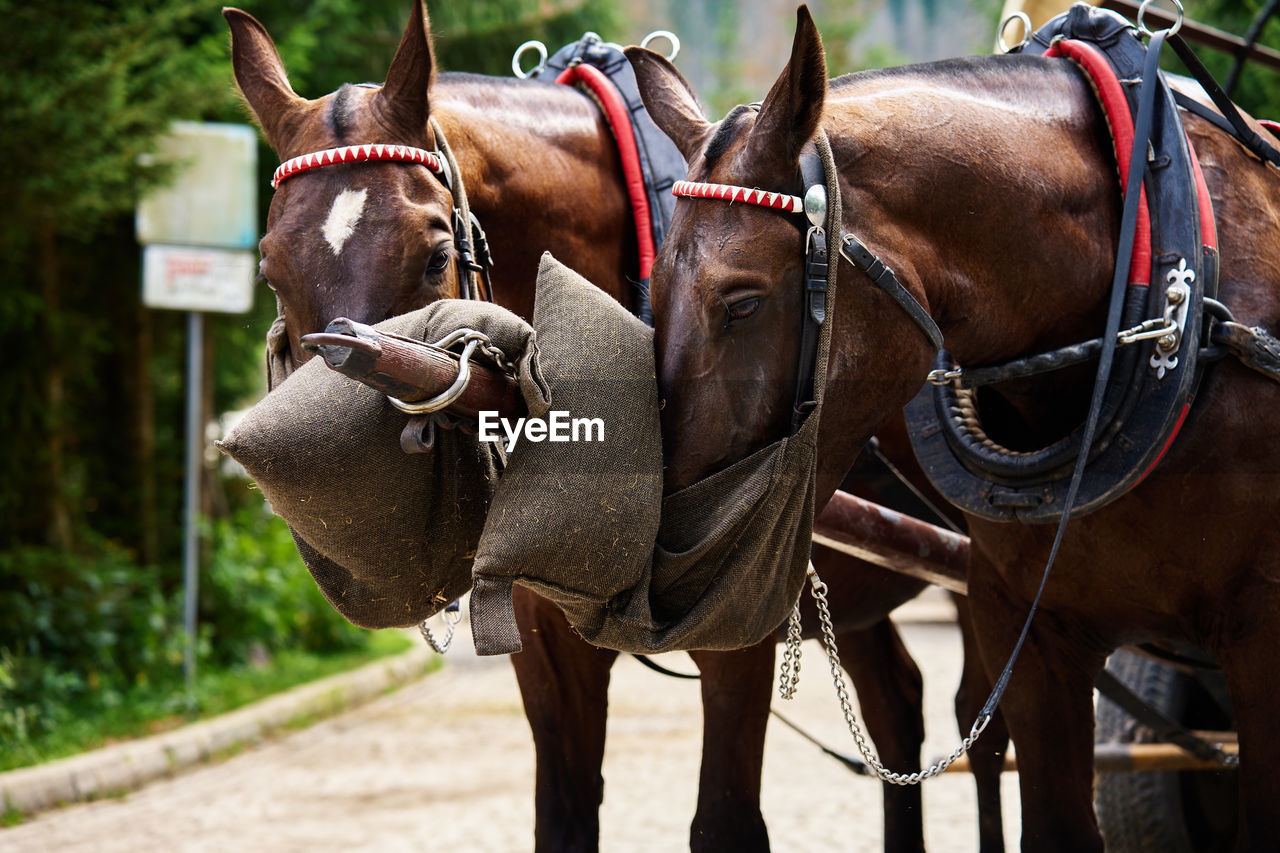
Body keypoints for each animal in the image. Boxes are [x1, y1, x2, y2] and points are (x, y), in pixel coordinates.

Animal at [225, 3, 1008, 845]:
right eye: (271, 269)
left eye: (436, 253)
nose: (351, 510)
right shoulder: (547, 651)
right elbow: (564, 814)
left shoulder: (734, 622)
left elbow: (725, 820)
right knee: (897, 705)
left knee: (986, 726)